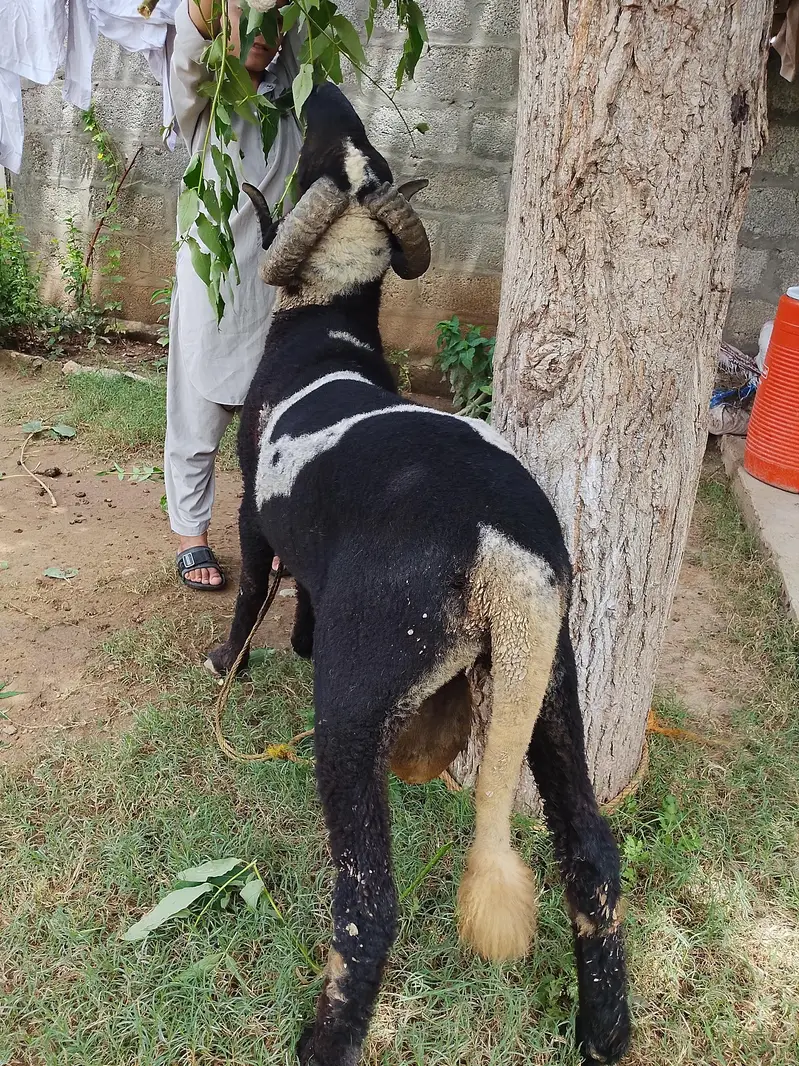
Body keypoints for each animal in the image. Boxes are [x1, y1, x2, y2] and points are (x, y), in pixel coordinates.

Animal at [206, 81, 631, 1066]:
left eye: (313, 158)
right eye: (352, 144)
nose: (320, 88)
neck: (327, 327)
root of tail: (505, 546)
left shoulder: (252, 510)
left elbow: (253, 588)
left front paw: (227, 660)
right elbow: (302, 592)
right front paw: (295, 635)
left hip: (357, 699)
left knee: (368, 903)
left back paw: (321, 1043)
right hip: (550, 688)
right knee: (590, 855)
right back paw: (604, 1031)